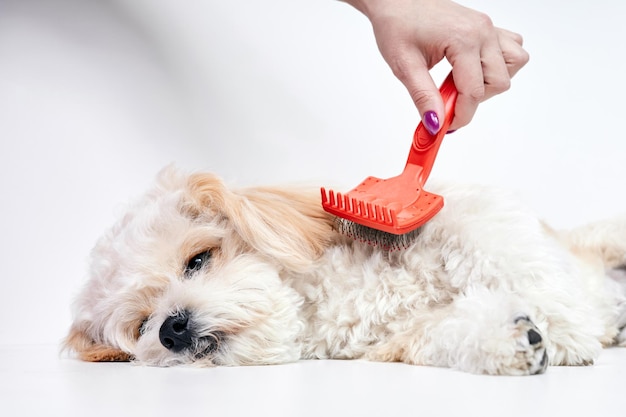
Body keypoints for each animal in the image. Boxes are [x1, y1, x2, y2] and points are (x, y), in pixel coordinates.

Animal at [63, 166, 624, 374]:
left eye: (197, 260)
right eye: (142, 326)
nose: (172, 329)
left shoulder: (469, 209)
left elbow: (505, 254)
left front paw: (567, 324)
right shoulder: (399, 340)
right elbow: (449, 331)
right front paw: (513, 341)